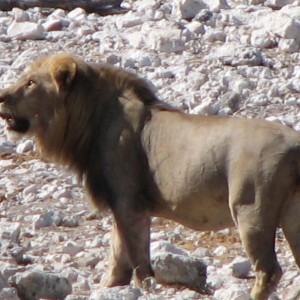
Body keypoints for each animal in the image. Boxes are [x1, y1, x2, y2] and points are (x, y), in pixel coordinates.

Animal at [0, 52, 300, 298]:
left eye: (30, 83)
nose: (1, 97)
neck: (91, 118)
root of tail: (295, 143)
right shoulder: (121, 202)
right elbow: (117, 249)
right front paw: (110, 286)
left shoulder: (128, 200)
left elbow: (135, 252)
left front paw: (142, 287)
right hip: (291, 216)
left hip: (251, 211)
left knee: (268, 271)